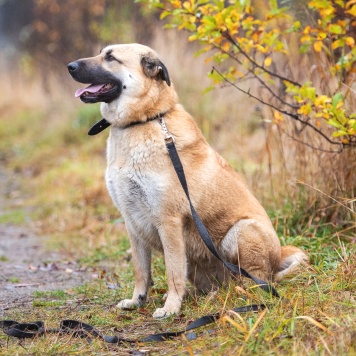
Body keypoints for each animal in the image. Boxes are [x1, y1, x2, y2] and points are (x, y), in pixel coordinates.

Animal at [68, 43, 308, 318]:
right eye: (101, 53)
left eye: (110, 57)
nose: (70, 66)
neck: (144, 121)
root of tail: (279, 256)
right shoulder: (132, 223)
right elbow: (141, 271)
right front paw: (138, 300)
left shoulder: (168, 221)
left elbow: (173, 271)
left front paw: (171, 307)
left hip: (242, 231)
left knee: (256, 280)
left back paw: (235, 292)